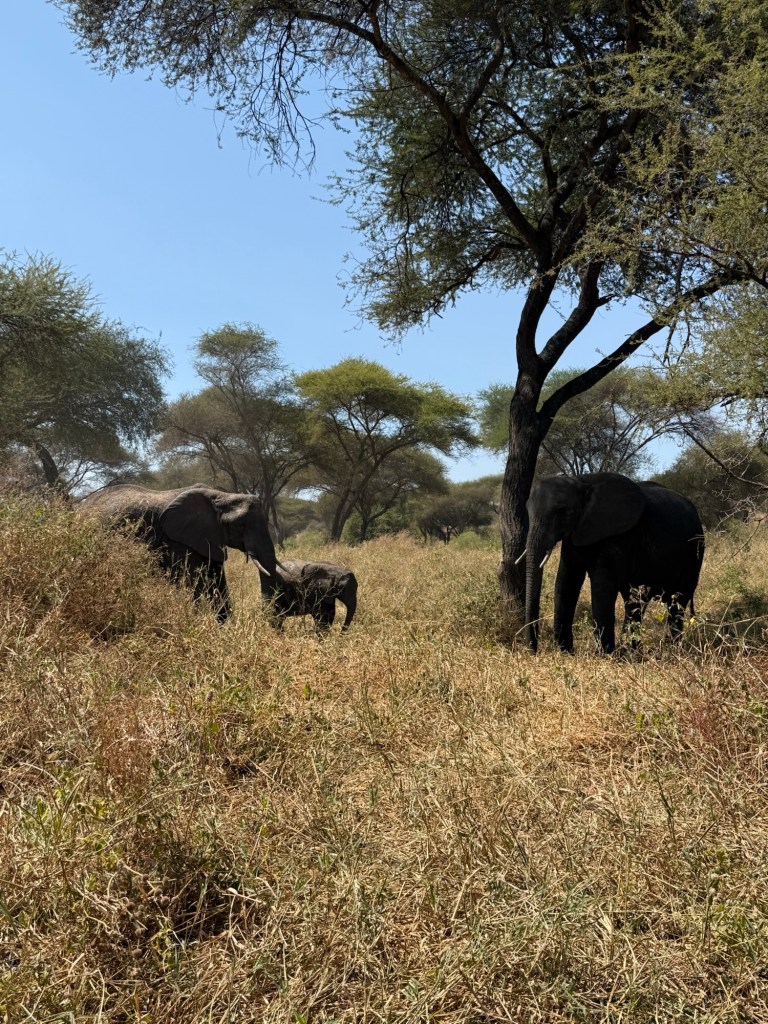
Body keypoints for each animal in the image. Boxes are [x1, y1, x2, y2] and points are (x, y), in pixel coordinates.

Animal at [521, 472, 704, 654]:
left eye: (562, 511)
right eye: (527, 511)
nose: (534, 651)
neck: (581, 480)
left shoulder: (618, 536)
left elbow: (601, 587)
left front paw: (604, 654)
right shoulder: (574, 536)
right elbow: (566, 581)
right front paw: (566, 652)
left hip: (694, 553)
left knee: (677, 602)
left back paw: (671, 648)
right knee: (636, 601)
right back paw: (633, 651)